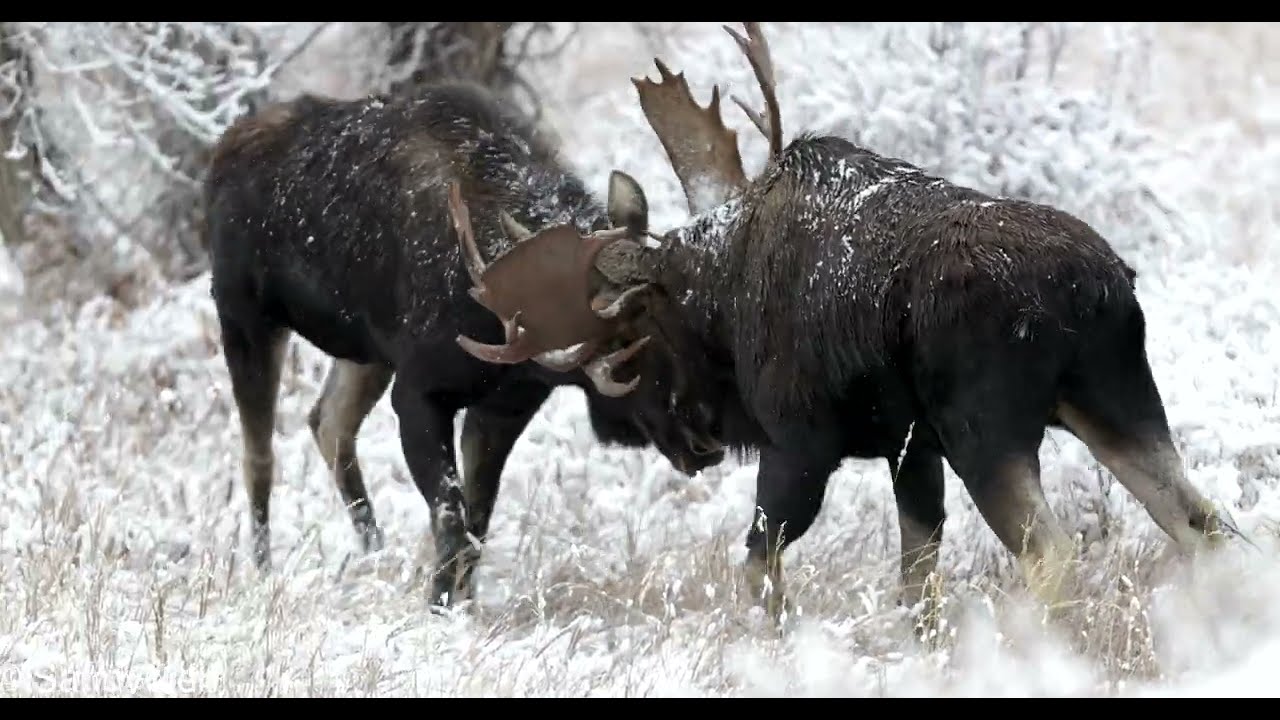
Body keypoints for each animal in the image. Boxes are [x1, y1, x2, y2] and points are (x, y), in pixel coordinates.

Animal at [203, 80, 726, 607]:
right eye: (624, 340)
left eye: (681, 318)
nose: (704, 440)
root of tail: (222, 151)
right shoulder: (418, 393)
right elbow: (451, 517)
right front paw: (438, 604)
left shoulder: (504, 407)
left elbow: (478, 520)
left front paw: (462, 602)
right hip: (244, 315)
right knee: (260, 454)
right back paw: (263, 570)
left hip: (368, 354)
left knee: (328, 423)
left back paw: (375, 553)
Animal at [447, 22, 1252, 627]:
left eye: (627, 343)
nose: (693, 444)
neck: (721, 295)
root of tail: (1098, 288)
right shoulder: (911, 451)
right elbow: (916, 583)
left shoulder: (800, 442)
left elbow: (759, 568)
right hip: (1116, 401)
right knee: (1206, 526)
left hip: (988, 430)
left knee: (1053, 555)